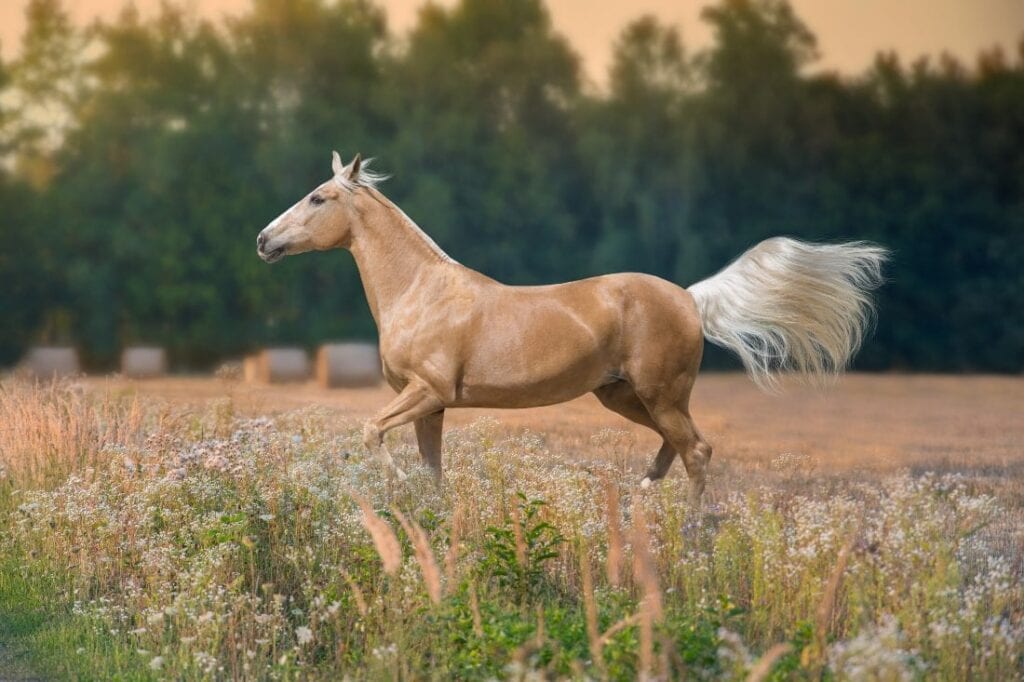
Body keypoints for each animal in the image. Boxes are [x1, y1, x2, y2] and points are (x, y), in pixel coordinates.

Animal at [257, 152, 886, 507]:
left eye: (318, 197)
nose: (264, 240)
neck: (421, 291)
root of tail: (689, 297)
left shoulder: (427, 392)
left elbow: (371, 433)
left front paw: (391, 491)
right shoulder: (431, 407)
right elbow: (431, 472)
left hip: (659, 395)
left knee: (698, 452)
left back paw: (689, 534)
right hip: (626, 397)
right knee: (676, 448)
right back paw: (638, 503)